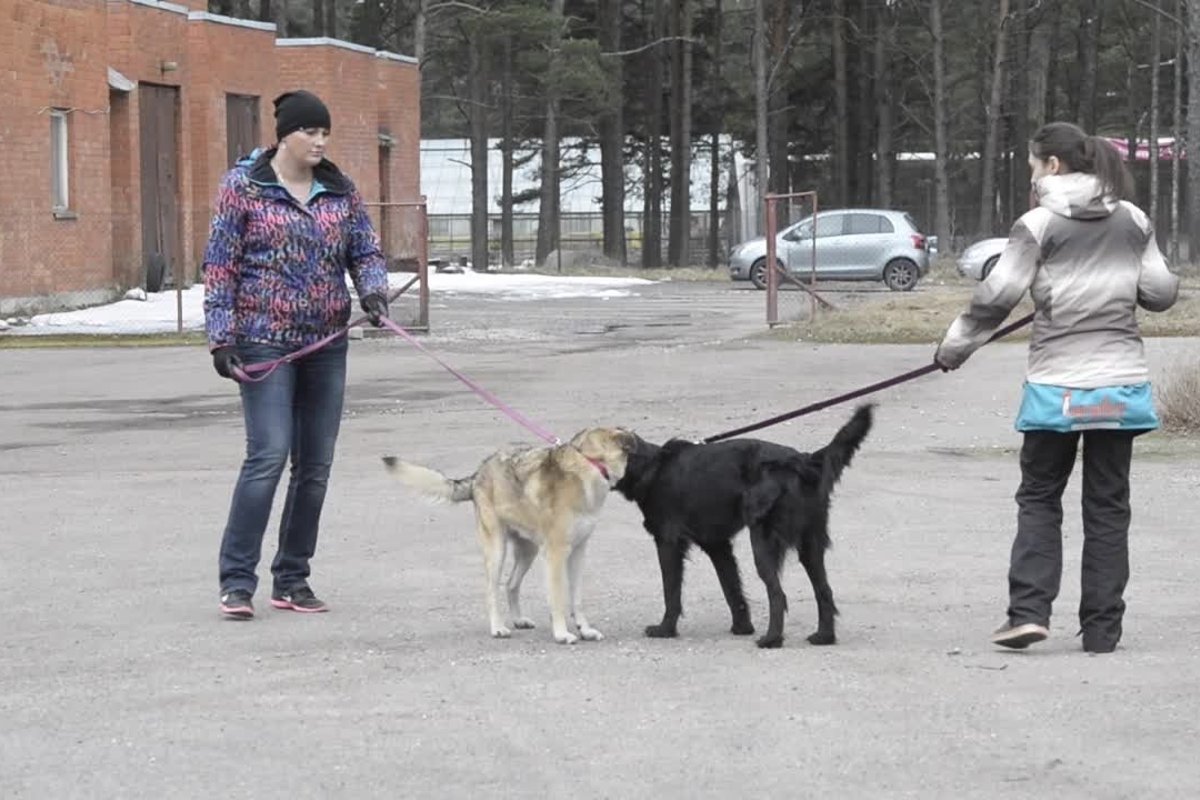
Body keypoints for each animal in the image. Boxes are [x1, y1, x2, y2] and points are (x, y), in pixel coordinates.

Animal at [384, 431, 633, 642]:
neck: (590, 464)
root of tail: (478, 473)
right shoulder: (556, 554)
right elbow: (558, 599)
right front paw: (561, 633)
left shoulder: (579, 552)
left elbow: (576, 599)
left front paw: (585, 629)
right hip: (497, 550)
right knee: (492, 591)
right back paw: (498, 628)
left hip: (528, 551)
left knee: (511, 584)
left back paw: (518, 620)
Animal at [619, 407, 873, 652]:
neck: (652, 468)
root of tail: (803, 461)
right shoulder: (718, 545)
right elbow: (731, 588)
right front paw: (742, 627)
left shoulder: (668, 542)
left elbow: (671, 591)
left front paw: (665, 630)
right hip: (810, 544)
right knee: (824, 590)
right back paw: (824, 636)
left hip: (763, 542)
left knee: (778, 594)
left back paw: (771, 640)